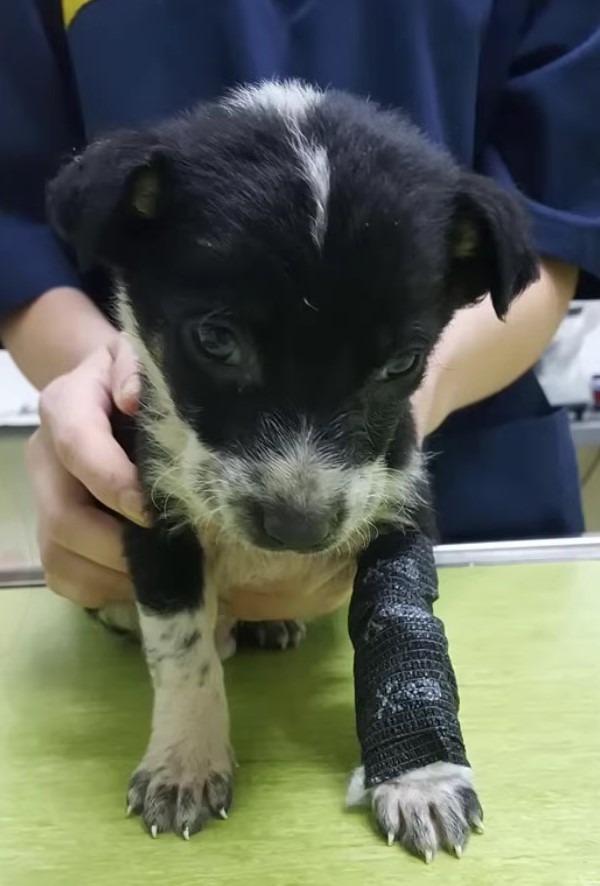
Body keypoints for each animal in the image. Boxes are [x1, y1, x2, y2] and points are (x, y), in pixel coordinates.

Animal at [44, 81, 536, 860]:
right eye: (216, 340)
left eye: (401, 364)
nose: (300, 530)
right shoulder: (152, 511)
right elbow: (179, 647)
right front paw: (185, 763)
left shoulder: (397, 506)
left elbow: (397, 628)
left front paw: (421, 776)